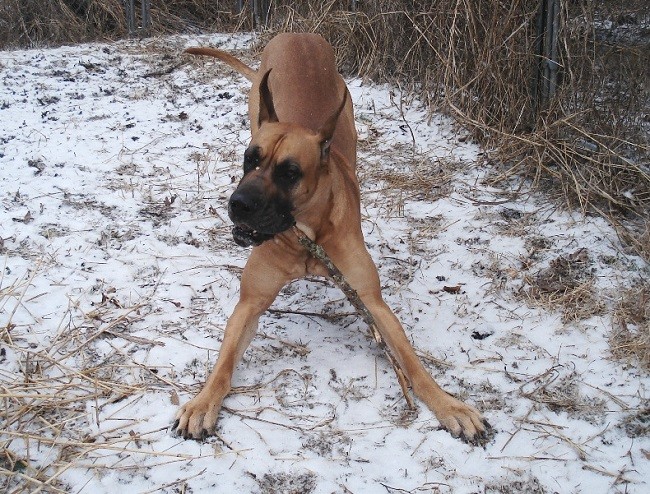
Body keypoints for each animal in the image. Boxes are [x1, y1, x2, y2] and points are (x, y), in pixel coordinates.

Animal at [175, 33, 488, 444]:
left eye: (290, 172)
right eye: (249, 159)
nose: (238, 204)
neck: (305, 234)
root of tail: (298, 34)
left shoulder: (371, 301)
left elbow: (412, 362)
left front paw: (449, 405)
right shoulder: (249, 304)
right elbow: (224, 363)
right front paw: (202, 401)